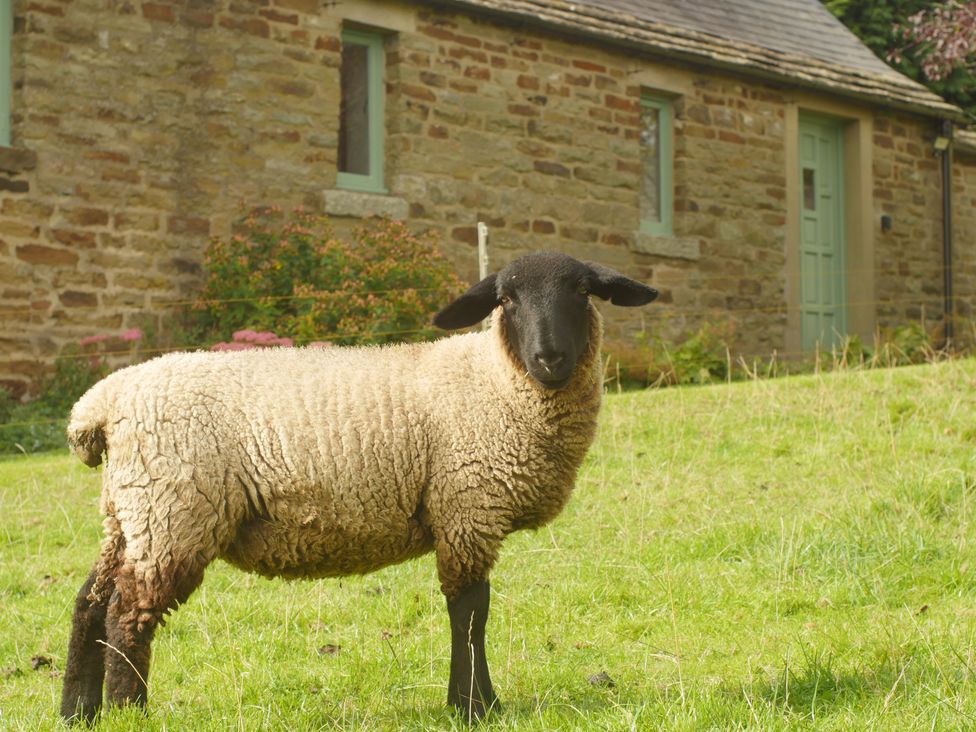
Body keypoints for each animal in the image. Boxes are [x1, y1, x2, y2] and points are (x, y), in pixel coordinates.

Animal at [59, 250, 656, 720]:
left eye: (582, 291)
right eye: (506, 299)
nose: (550, 358)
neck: (495, 380)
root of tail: (101, 403)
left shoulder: (465, 512)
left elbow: (471, 612)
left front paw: (474, 702)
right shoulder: (467, 506)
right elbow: (470, 611)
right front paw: (474, 708)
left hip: (131, 510)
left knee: (90, 600)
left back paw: (77, 712)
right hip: (173, 510)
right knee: (127, 612)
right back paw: (129, 710)